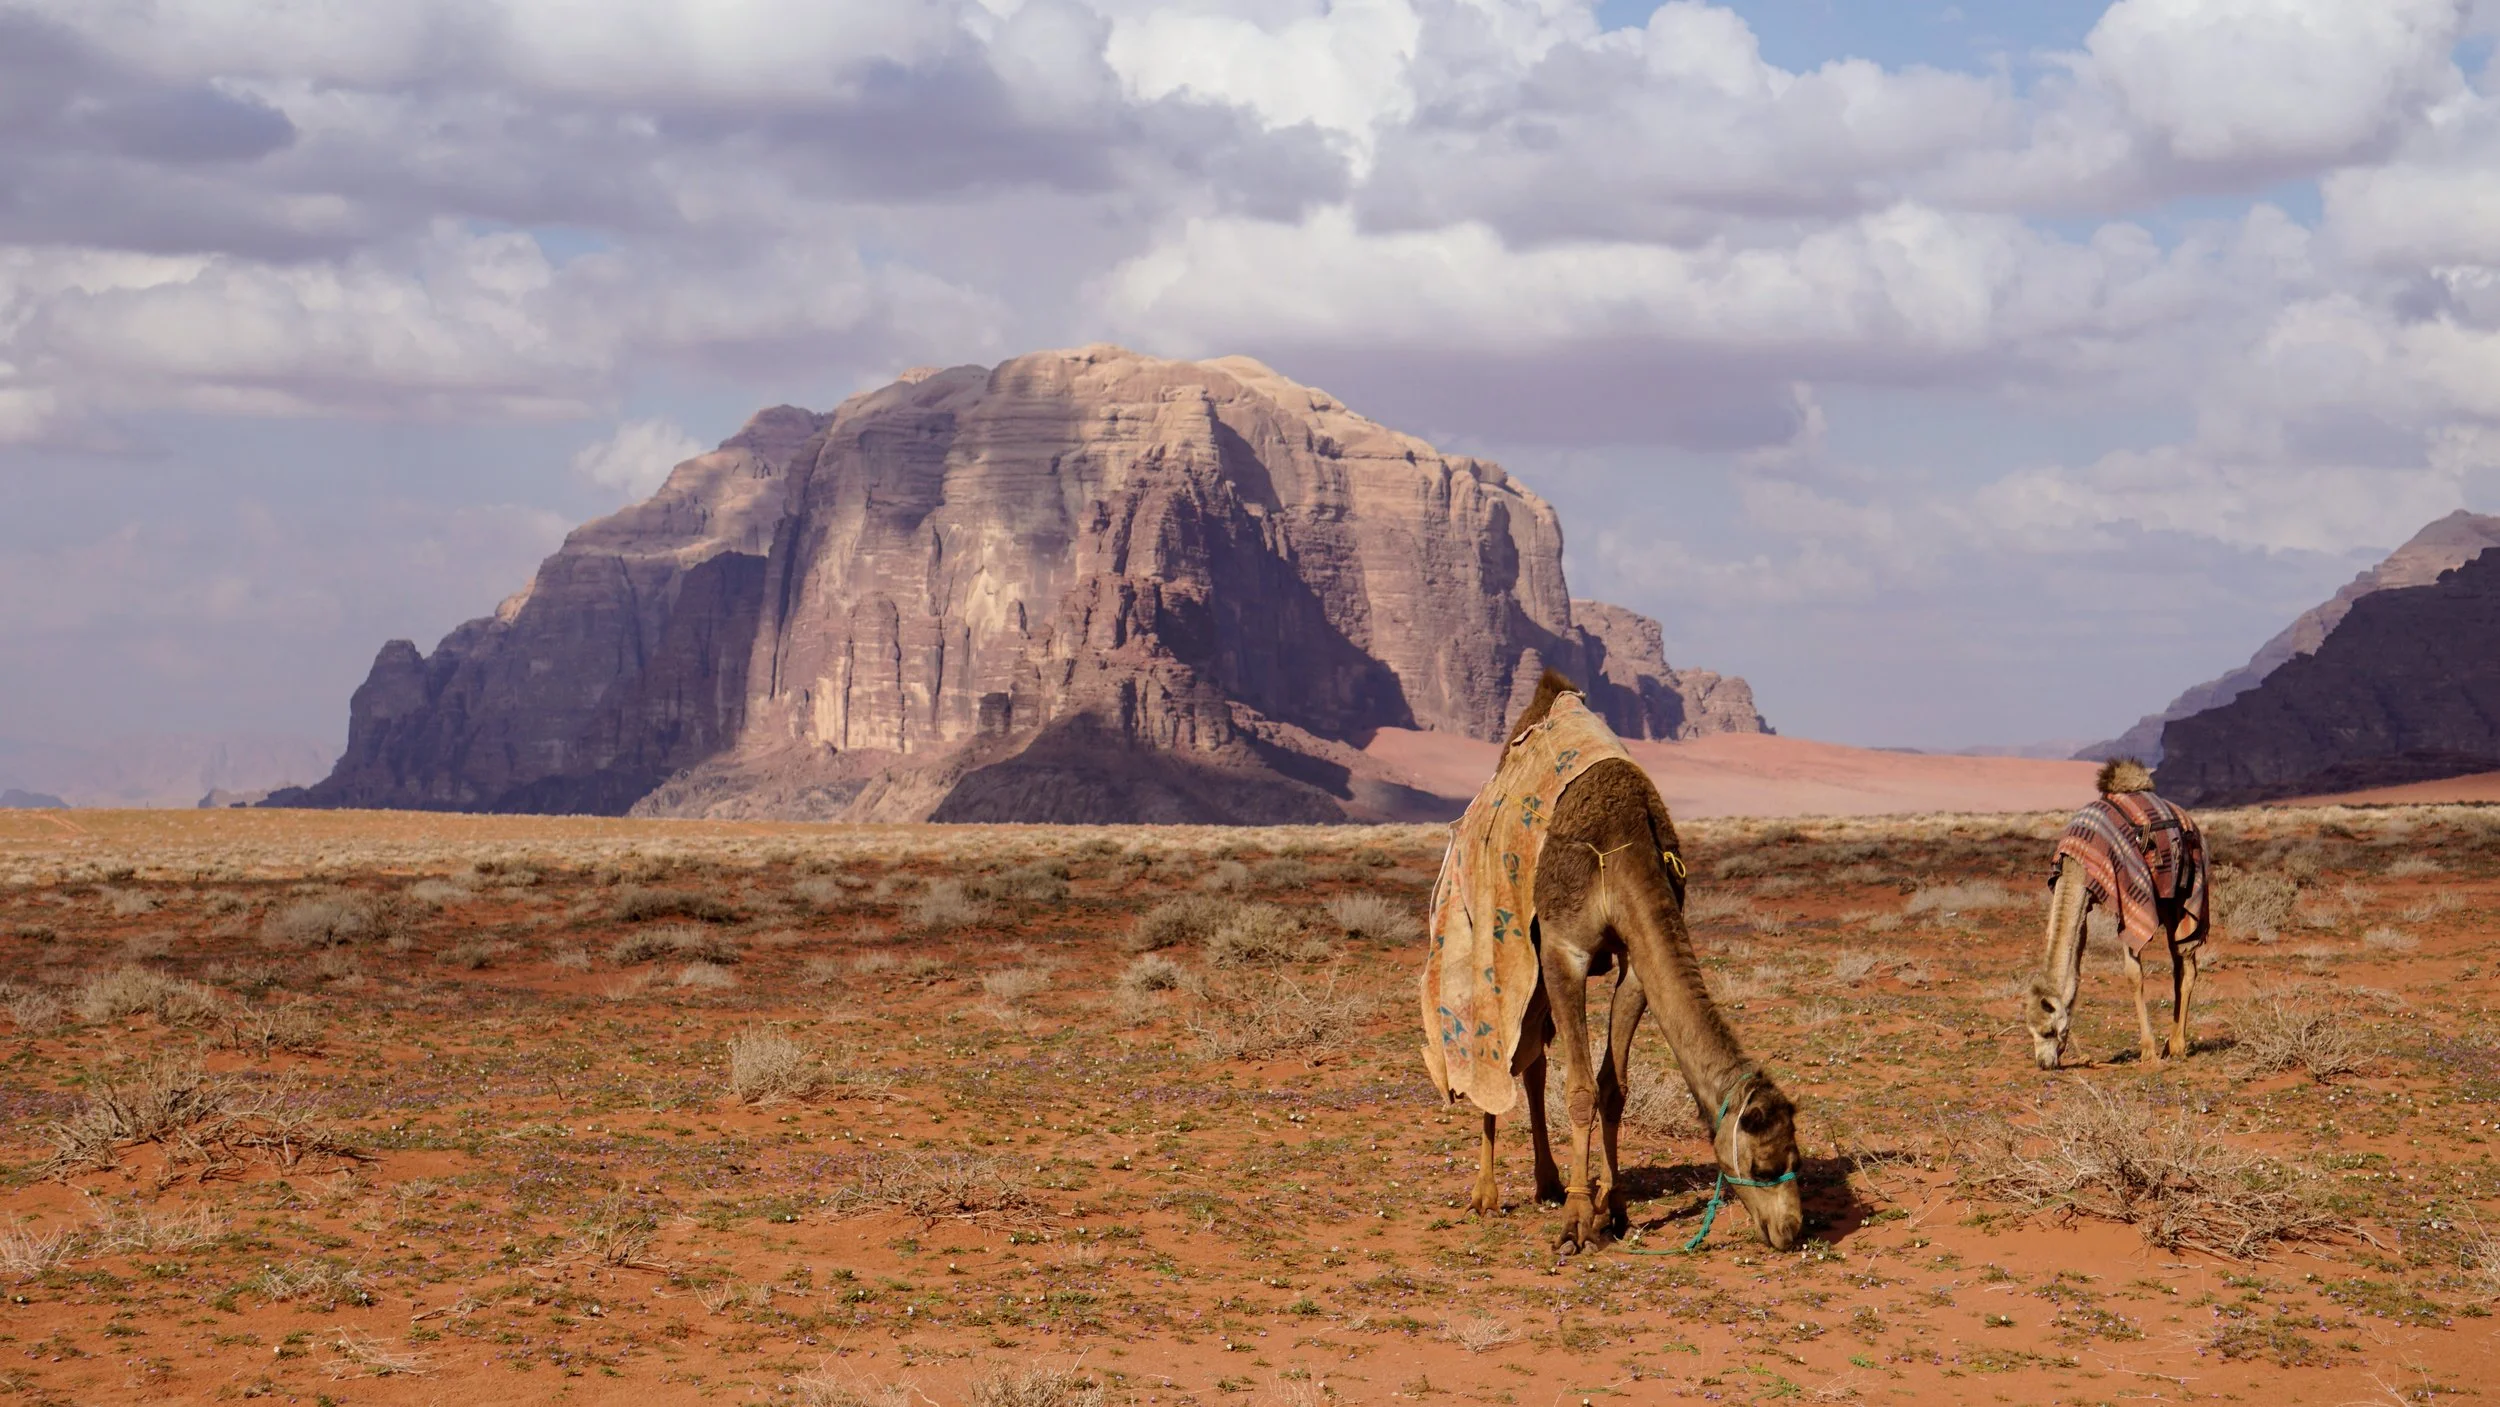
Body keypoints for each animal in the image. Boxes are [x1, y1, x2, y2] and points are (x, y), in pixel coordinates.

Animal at [1430, 671, 1803, 1254]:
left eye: (1796, 1159)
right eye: (1763, 1166)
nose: (1791, 1230)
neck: (1623, 847)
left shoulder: (1633, 963)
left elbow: (1613, 1088)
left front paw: (1616, 1208)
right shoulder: (1565, 950)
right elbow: (1581, 1090)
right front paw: (1578, 1222)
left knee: (1532, 1061)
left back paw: (1548, 1182)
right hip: (1504, 953)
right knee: (1503, 1054)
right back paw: (1487, 1194)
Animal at [2026, 759, 2210, 1069]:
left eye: (2049, 1030)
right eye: (2030, 1030)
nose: (2044, 1063)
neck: (2077, 863)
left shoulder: (2126, 900)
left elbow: (2134, 975)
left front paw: (2147, 1050)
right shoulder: (2086, 899)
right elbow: (2075, 974)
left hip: (2184, 894)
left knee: (2187, 964)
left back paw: (2178, 1045)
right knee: (2178, 964)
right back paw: (2170, 1043)